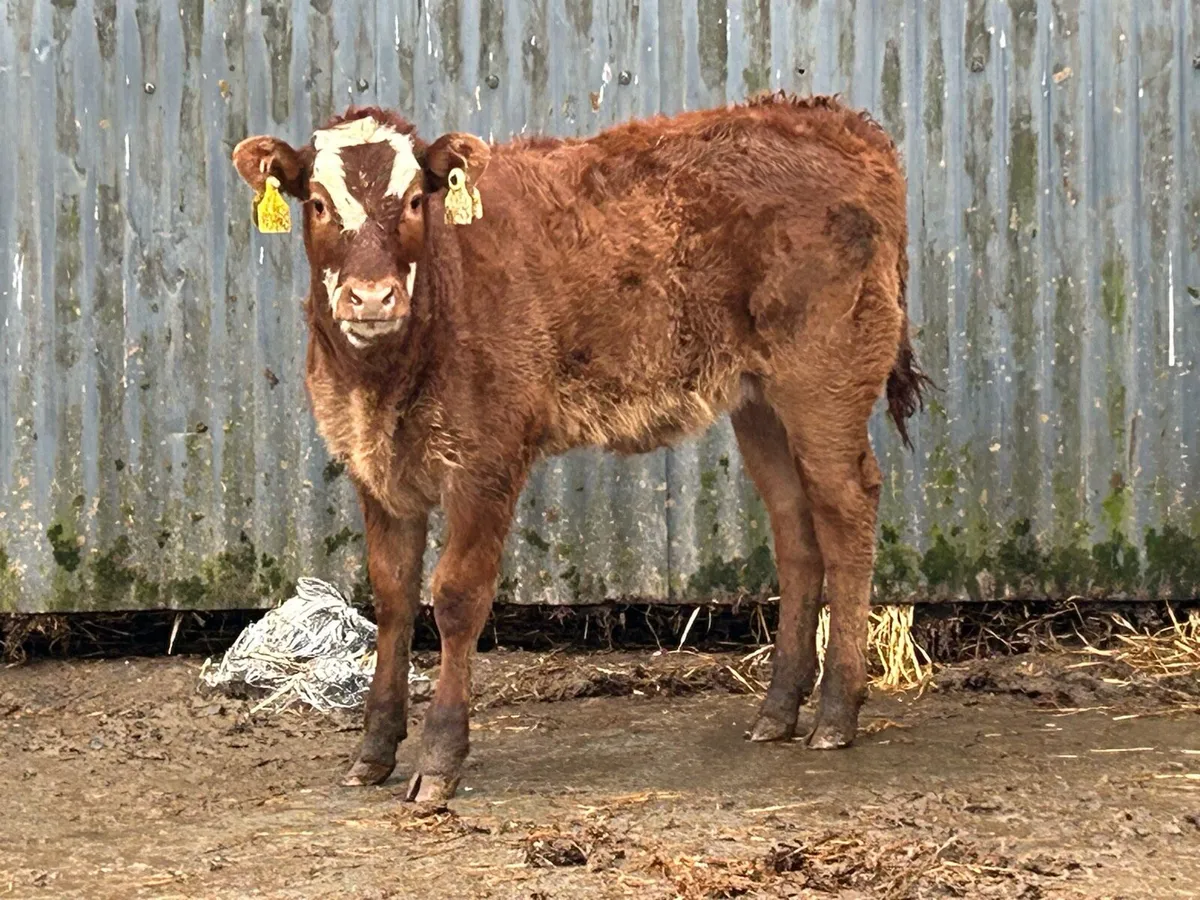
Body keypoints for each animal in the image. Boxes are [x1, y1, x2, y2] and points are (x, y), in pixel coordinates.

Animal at [232, 92, 927, 804]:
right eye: (318, 203)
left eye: (417, 201)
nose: (372, 297)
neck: (382, 381)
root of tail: (830, 118)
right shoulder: (374, 466)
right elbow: (392, 595)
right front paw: (373, 748)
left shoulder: (488, 457)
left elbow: (455, 597)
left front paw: (440, 757)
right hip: (759, 399)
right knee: (794, 526)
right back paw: (779, 708)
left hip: (825, 377)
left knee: (846, 510)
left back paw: (837, 710)